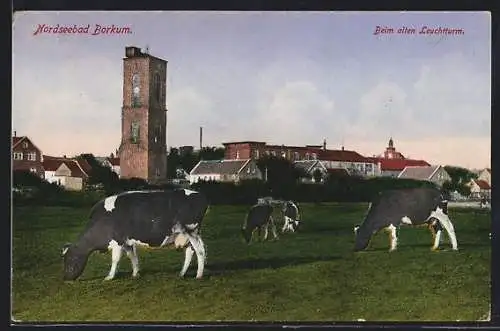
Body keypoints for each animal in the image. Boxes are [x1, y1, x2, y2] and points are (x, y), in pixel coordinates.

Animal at [61, 191, 209, 282]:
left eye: (71, 259)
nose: (66, 277)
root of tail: (200, 195)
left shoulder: (118, 240)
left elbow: (115, 259)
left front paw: (110, 277)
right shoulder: (127, 242)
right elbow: (132, 256)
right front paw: (135, 274)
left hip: (192, 231)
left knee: (200, 252)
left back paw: (199, 275)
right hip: (187, 235)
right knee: (190, 252)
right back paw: (182, 273)